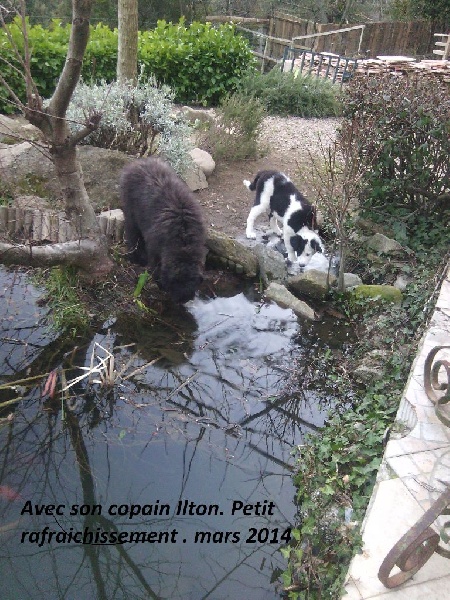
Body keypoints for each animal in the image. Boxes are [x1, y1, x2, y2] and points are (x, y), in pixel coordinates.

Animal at [118, 157, 206, 302]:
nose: (183, 300)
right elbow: (155, 265)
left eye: (191, 283)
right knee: (132, 234)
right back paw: (136, 257)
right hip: (131, 213)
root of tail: (139, 162)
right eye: (175, 283)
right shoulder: (155, 248)